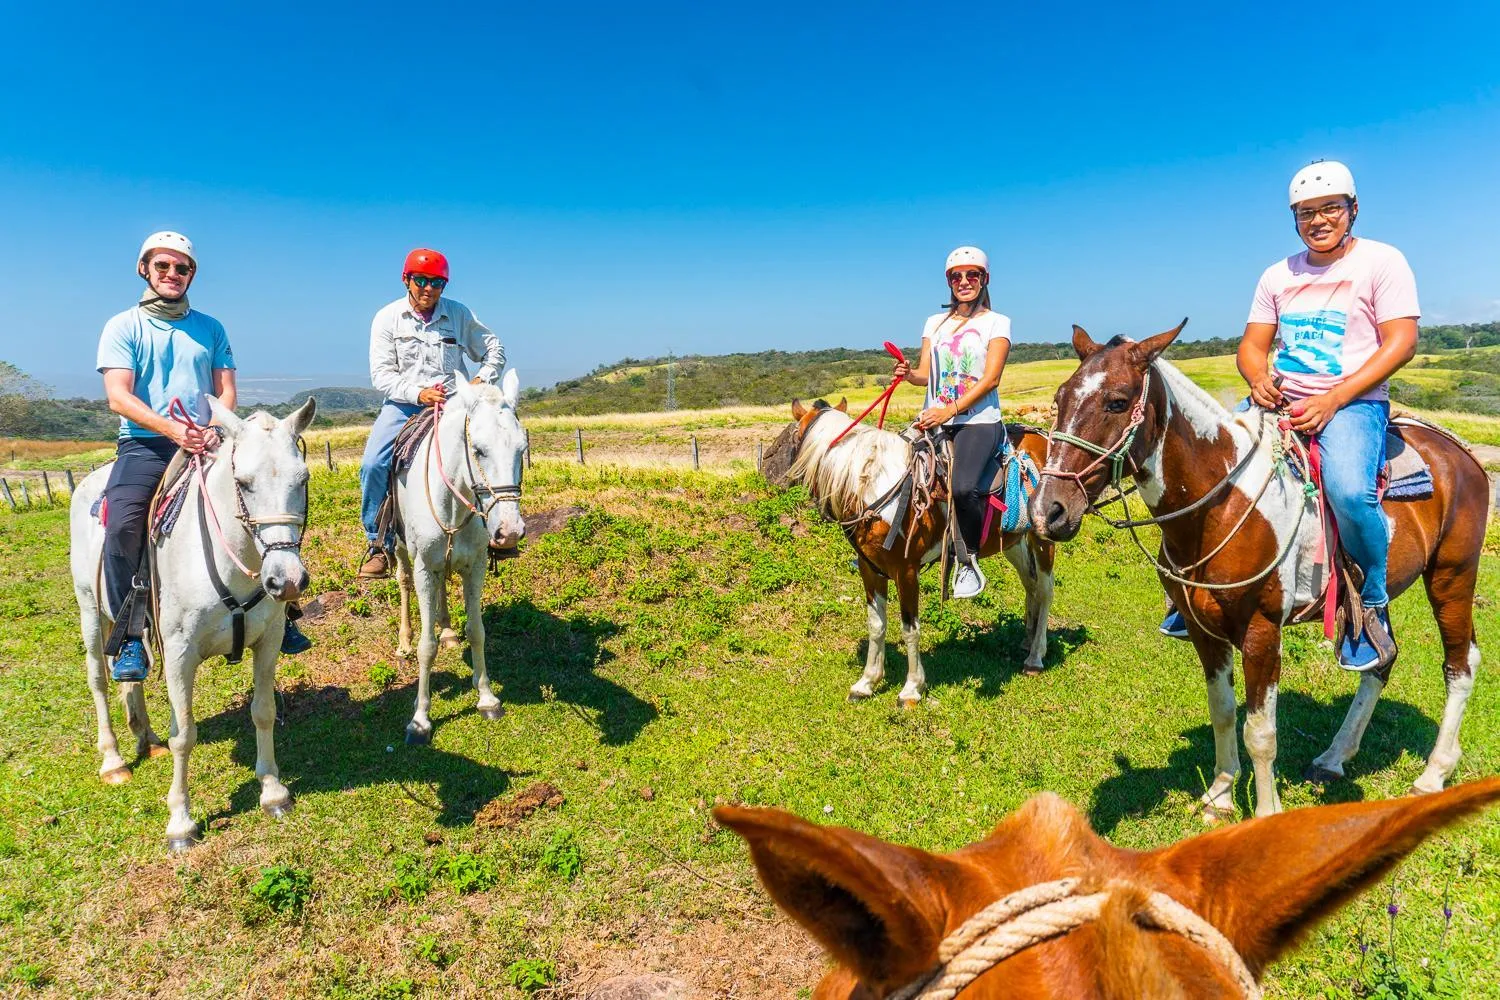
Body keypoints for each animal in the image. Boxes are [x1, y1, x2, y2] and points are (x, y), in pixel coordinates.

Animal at [69, 397, 316, 851]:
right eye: (243, 482)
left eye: (303, 478)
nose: (286, 580)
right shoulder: (181, 653)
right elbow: (184, 734)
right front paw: (180, 822)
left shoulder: (269, 641)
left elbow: (264, 711)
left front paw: (273, 792)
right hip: (90, 612)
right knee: (98, 678)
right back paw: (113, 759)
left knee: (130, 673)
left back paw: (146, 738)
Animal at [392, 372, 526, 745]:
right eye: (478, 449)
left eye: (522, 449)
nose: (509, 532)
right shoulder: (424, 567)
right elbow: (426, 646)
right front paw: (420, 719)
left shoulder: (475, 566)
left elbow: (477, 631)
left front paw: (487, 699)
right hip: (400, 549)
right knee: (404, 584)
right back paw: (403, 641)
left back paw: (449, 632)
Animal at [766, 398, 1055, 704]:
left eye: (794, 438)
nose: (779, 480)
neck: (874, 487)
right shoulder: (870, 568)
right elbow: (876, 624)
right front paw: (867, 682)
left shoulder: (906, 571)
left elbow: (910, 628)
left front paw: (912, 688)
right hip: (1014, 542)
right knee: (1031, 585)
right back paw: (1027, 641)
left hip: (1043, 538)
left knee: (1045, 590)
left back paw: (1035, 657)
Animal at [1031, 322, 1487, 819]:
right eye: (1060, 397)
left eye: (1116, 401)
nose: (1048, 511)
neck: (1220, 504)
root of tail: (1459, 452)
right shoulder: (1203, 630)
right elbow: (1224, 712)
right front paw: (1220, 794)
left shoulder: (1261, 632)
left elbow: (1261, 733)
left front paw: (1266, 813)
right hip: (1373, 597)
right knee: (1381, 660)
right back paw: (1333, 757)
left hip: (1452, 576)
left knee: (1460, 665)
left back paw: (1433, 774)